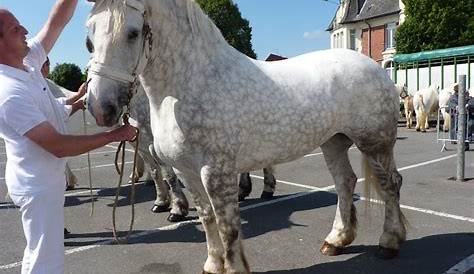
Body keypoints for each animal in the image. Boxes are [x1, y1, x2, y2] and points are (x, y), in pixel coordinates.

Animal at [84, 1, 404, 272]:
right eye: (89, 38)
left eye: (133, 33)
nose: (101, 107)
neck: (192, 83)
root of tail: (377, 69)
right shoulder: (186, 170)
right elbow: (207, 217)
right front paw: (213, 265)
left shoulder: (216, 172)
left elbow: (228, 227)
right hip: (333, 142)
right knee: (345, 183)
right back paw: (337, 240)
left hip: (375, 143)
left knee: (390, 184)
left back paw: (389, 242)